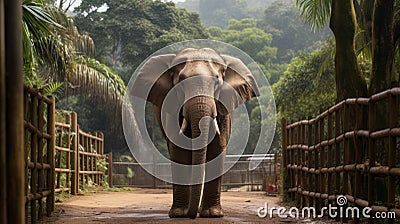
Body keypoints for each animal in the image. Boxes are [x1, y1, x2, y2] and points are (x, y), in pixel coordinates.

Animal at [130, 47, 258, 219]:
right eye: (180, 82)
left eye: (217, 82)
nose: (192, 215)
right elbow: (178, 148)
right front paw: (179, 214)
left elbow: (217, 147)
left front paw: (212, 214)